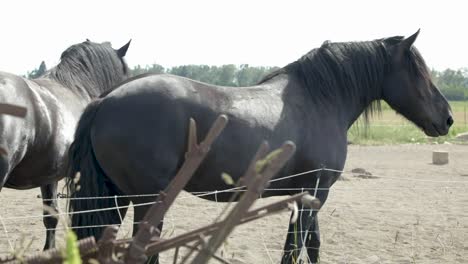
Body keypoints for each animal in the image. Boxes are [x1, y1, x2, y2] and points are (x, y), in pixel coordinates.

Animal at [66, 30, 454, 262]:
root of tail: (105, 100)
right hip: (147, 202)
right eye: (419, 72)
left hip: (115, 199)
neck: (319, 99)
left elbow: (305, 246)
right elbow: (299, 248)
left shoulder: (305, 197)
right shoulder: (315, 194)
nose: (449, 118)